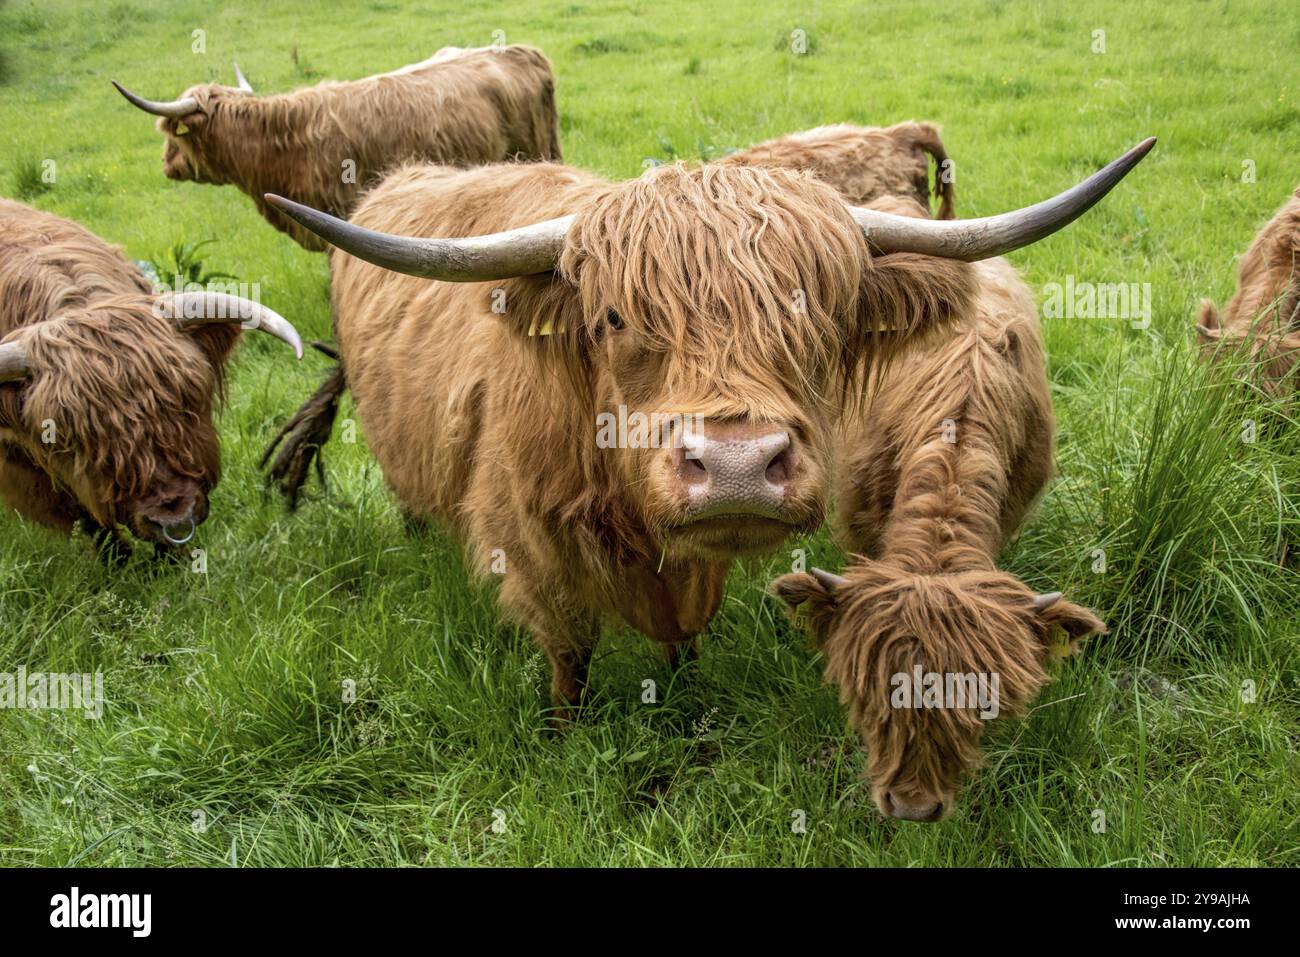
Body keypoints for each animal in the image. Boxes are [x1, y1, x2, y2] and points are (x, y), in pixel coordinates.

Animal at [261, 134, 1149, 717]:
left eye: (818, 313)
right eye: (613, 318)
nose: (736, 466)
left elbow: (684, 635)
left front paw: (685, 693)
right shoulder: (533, 547)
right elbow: (569, 653)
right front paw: (563, 727)